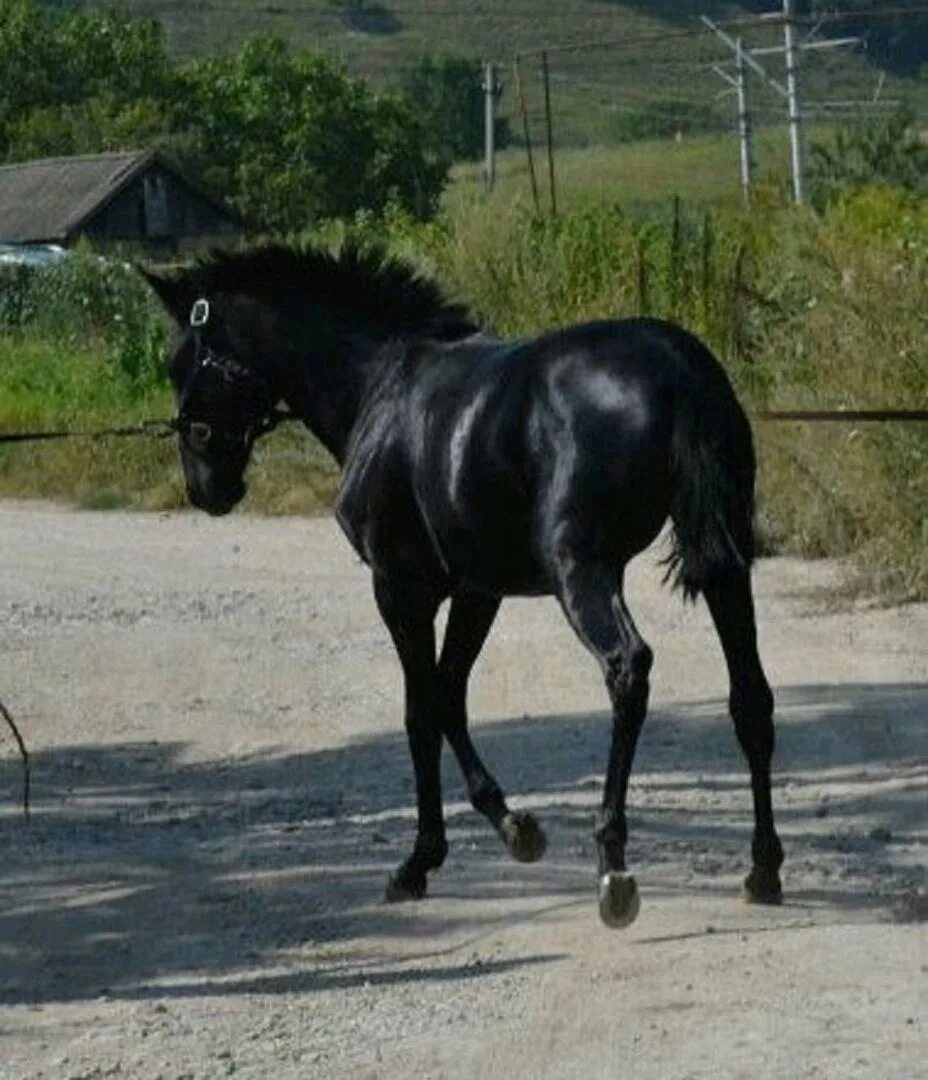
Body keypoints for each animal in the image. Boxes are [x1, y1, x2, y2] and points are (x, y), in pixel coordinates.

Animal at [143, 247, 782, 928]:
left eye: (181, 361)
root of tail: (677, 370)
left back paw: (613, 866)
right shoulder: (479, 590)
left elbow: (421, 709)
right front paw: (516, 828)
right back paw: (763, 869)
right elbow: (450, 695)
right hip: (724, 567)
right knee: (750, 698)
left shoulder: (400, 588)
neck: (380, 383)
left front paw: (418, 862)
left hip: (581, 570)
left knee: (627, 668)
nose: (206, 488)